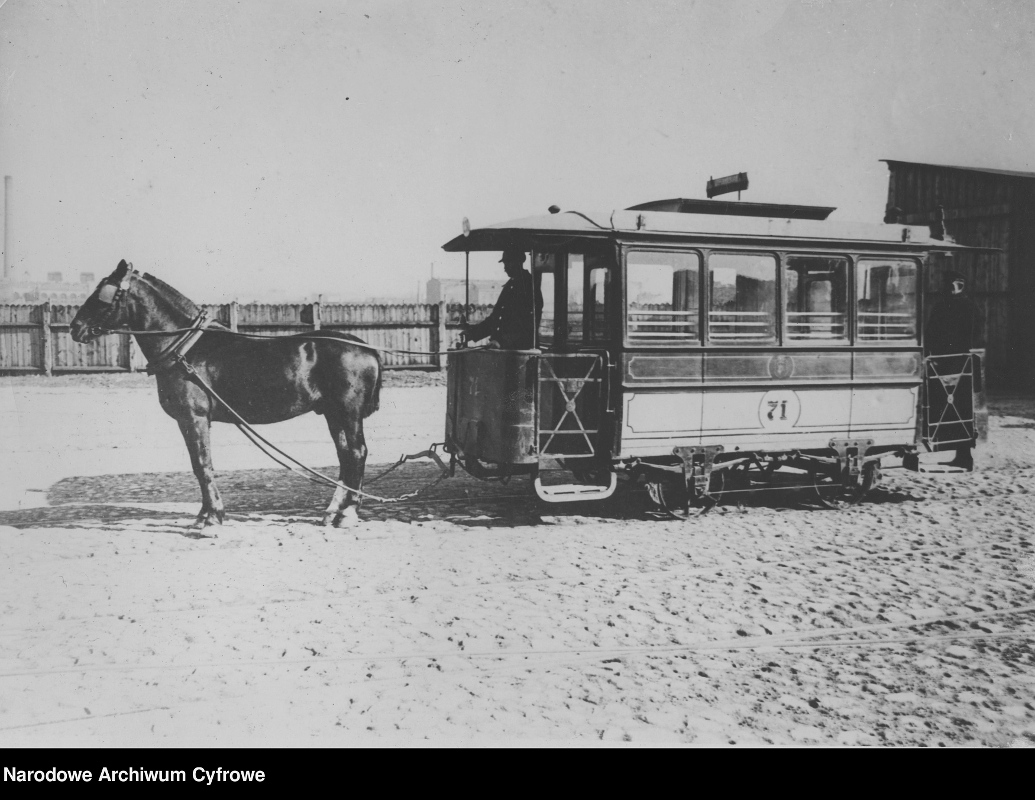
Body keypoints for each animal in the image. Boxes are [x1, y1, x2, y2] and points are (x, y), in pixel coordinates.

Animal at [69, 258, 385, 527]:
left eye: (102, 294)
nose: (76, 328)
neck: (186, 348)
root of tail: (365, 347)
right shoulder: (191, 421)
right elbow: (199, 465)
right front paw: (205, 514)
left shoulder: (194, 418)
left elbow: (202, 465)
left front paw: (212, 518)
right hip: (333, 414)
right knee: (345, 456)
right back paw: (333, 511)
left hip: (348, 413)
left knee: (357, 453)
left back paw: (348, 514)